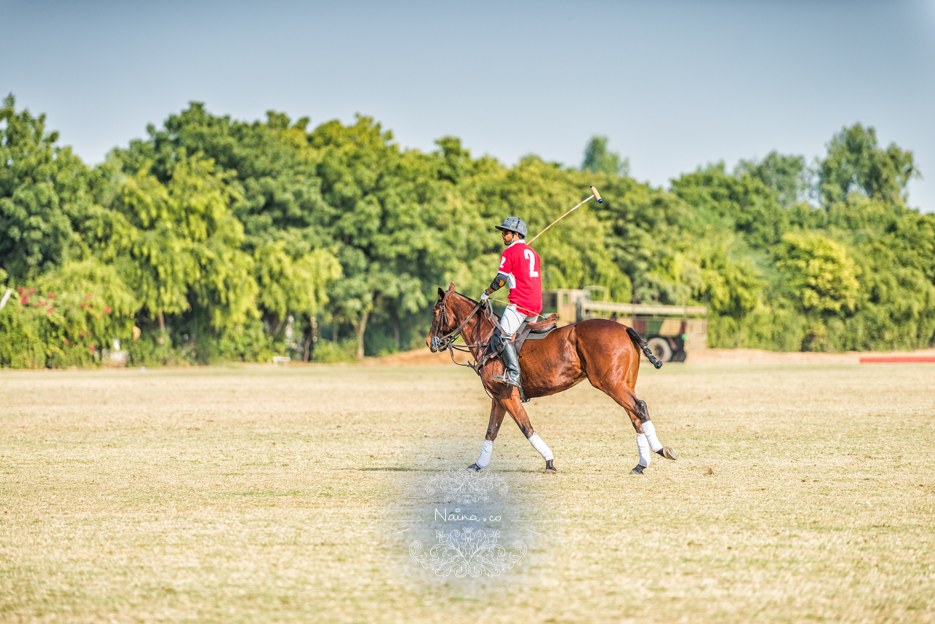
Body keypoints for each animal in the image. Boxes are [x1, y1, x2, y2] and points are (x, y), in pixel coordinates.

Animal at [428, 286, 676, 476]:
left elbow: (526, 427)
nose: (431, 342)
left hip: (610, 384)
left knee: (640, 407)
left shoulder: (507, 395)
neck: (487, 338)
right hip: (624, 384)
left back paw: (661, 450)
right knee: (635, 416)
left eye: (435, 311)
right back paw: (641, 464)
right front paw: (478, 465)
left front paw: (549, 461)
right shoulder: (498, 398)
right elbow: (491, 431)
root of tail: (625, 327)